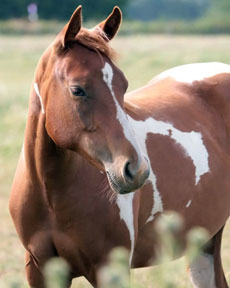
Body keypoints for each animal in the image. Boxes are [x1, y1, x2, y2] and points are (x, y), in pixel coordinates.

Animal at [9, 5, 230, 288]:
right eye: (77, 90)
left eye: (123, 85)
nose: (136, 171)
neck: (51, 195)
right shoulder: (39, 269)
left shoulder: (110, 269)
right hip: (204, 241)